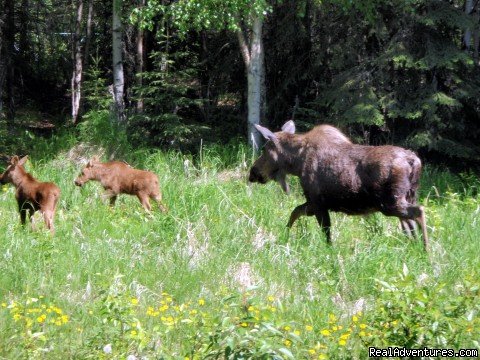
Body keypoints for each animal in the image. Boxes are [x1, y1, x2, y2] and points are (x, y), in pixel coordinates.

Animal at [249, 121, 430, 250]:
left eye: (265, 150)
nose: (252, 173)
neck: (296, 164)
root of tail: (414, 161)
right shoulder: (313, 202)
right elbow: (295, 212)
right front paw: (284, 234)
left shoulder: (317, 202)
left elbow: (326, 232)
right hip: (408, 196)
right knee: (409, 224)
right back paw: (414, 247)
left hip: (389, 202)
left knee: (418, 212)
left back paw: (426, 250)